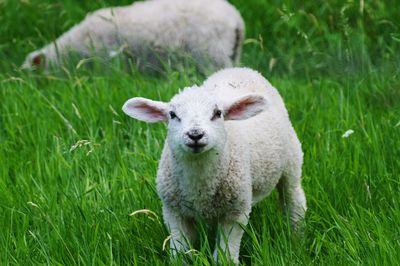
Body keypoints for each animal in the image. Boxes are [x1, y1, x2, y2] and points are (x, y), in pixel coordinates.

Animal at [122, 67, 306, 262]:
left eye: (218, 113)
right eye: (172, 115)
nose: (195, 134)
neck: (199, 182)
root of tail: (240, 69)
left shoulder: (235, 213)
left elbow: (226, 255)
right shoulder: (174, 212)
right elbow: (179, 250)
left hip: (292, 161)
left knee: (293, 199)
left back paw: (296, 238)